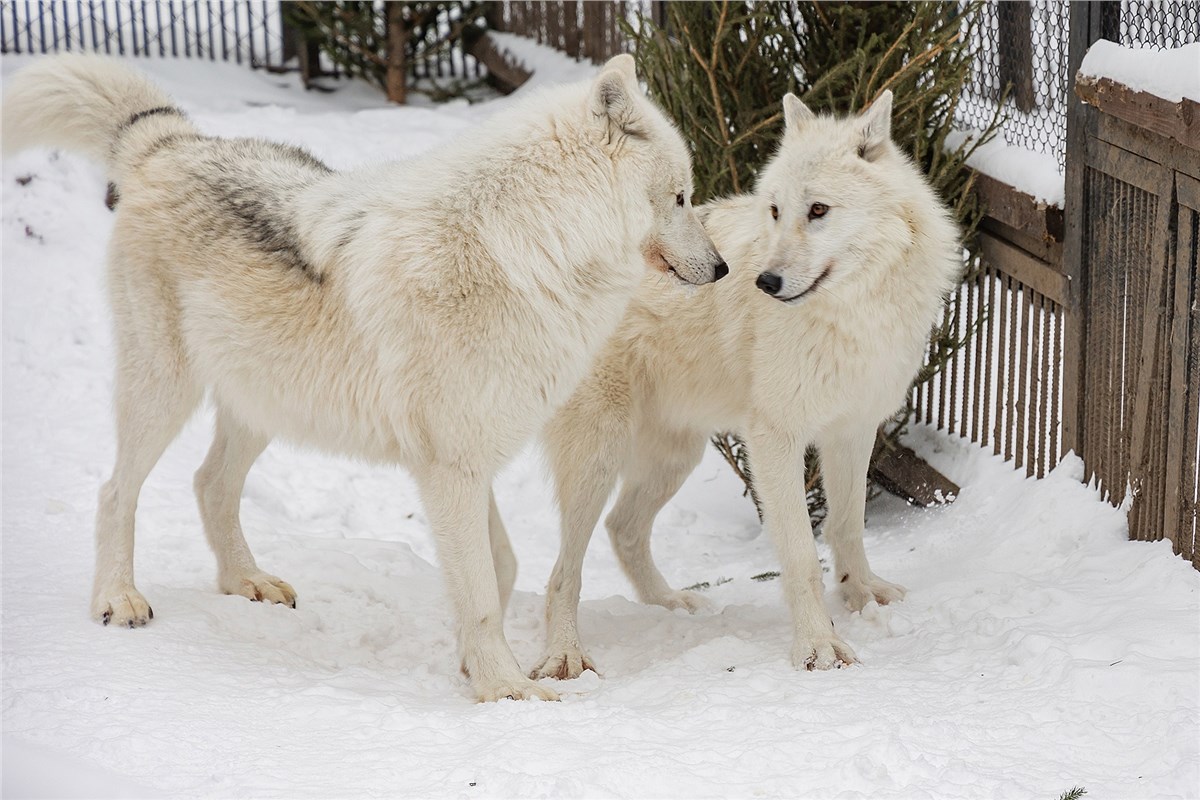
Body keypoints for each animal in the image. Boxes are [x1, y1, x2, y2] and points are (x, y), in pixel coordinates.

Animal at [4, 53, 724, 700]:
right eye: (681, 197)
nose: (720, 269)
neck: (526, 249)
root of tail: (172, 142)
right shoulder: (450, 467)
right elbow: (482, 591)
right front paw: (507, 691)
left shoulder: (469, 459)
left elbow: (499, 567)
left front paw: (475, 668)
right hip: (164, 391)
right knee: (114, 491)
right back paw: (118, 597)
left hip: (265, 404)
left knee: (209, 483)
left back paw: (247, 582)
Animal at [530, 90, 960, 681]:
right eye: (775, 210)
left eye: (818, 210)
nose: (765, 282)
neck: (852, 314)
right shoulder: (775, 438)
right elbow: (801, 556)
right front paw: (820, 648)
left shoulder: (852, 430)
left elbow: (847, 526)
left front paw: (863, 597)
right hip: (599, 458)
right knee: (562, 571)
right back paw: (566, 655)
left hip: (674, 458)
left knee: (623, 528)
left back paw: (673, 605)